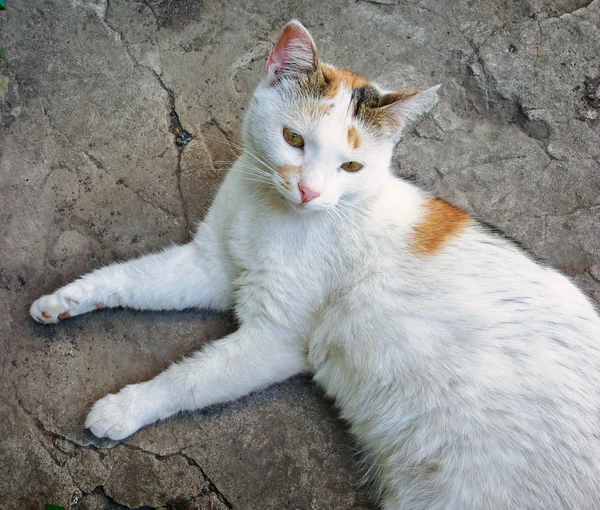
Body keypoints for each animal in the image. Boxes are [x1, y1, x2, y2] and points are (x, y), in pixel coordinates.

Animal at [30, 20, 600, 510]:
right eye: (294, 140)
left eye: (352, 166)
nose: (309, 191)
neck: (272, 214)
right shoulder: (210, 266)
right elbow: (128, 277)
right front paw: (64, 300)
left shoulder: (276, 339)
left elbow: (188, 378)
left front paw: (125, 407)